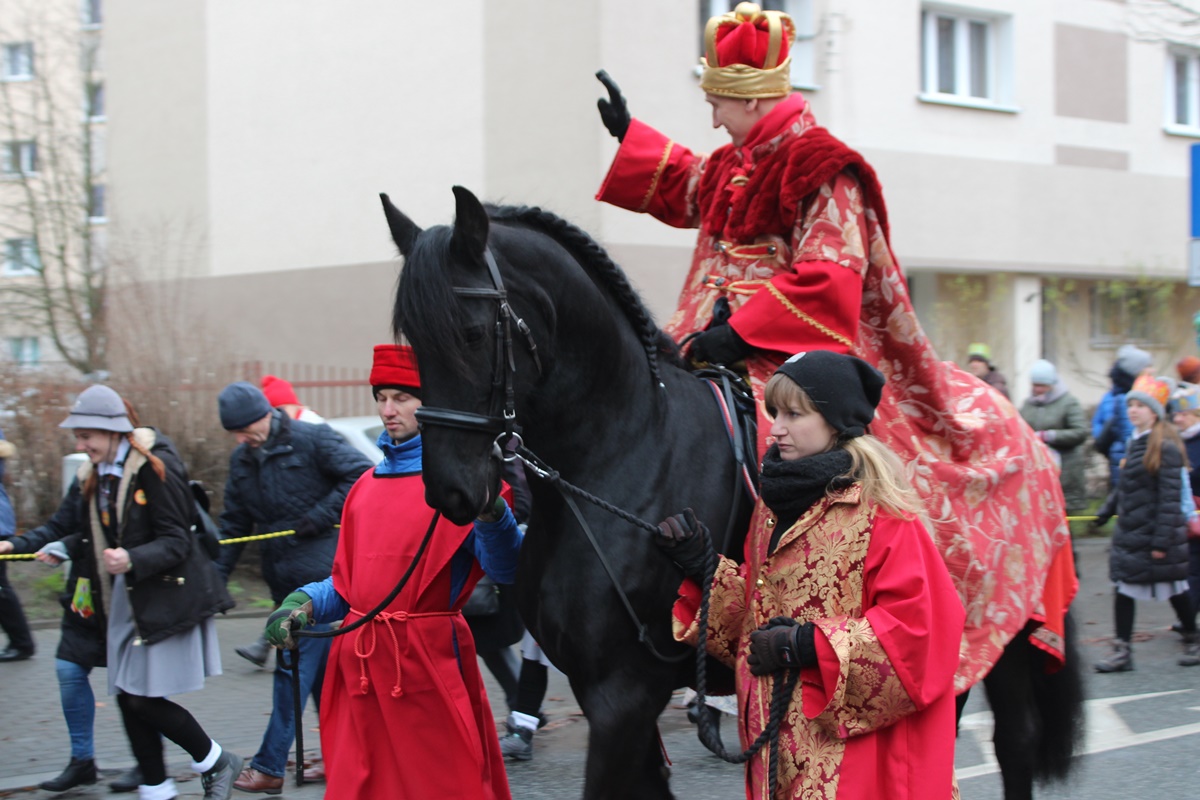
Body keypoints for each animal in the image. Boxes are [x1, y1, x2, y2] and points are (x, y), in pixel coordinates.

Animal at [381, 185, 1084, 800]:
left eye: (472, 334)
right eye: (410, 338)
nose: (452, 491)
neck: (627, 447)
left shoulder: (621, 693)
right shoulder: (600, 690)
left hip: (1000, 636)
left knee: (1014, 740)